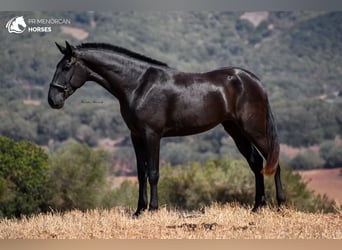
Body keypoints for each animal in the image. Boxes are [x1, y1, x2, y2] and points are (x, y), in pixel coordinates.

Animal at [46, 41, 284, 215]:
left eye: (66, 66)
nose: (53, 100)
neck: (138, 84)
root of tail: (255, 81)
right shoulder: (136, 135)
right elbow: (140, 173)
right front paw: (138, 211)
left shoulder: (152, 135)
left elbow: (153, 172)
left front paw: (152, 209)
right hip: (236, 131)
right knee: (256, 163)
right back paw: (257, 207)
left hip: (253, 130)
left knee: (273, 161)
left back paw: (281, 205)